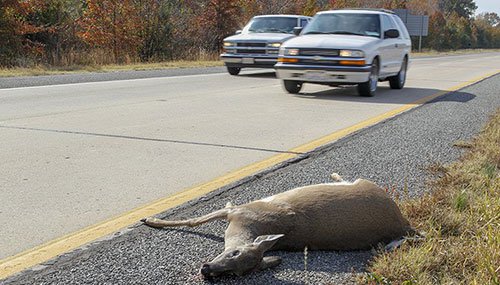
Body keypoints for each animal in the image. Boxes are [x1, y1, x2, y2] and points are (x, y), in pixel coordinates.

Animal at [141, 173, 414, 278]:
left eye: (235, 274)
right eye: (233, 253)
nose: (207, 270)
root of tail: (403, 224)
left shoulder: (238, 212)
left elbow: (195, 219)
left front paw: (150, 220)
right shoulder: (237, 211)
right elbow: (196, 218)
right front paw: (150, 220)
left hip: (366, 183)